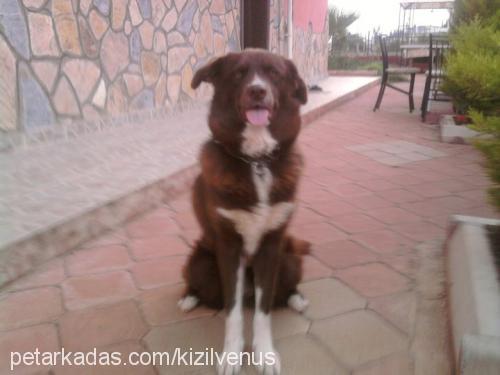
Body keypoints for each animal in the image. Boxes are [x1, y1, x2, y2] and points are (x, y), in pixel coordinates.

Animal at [178, 50, 310, 375]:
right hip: (200, 262)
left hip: (290, 260)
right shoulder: (229, 247)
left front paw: (264, 354)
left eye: (274, 73)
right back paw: (188, 298)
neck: (256, 161)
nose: (257, 91)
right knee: (201, 285)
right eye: (238, 73)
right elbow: (233, 311)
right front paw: (231, 356)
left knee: (282, 290)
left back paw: (297, 299)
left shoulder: (272, 247)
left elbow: (264, 310)